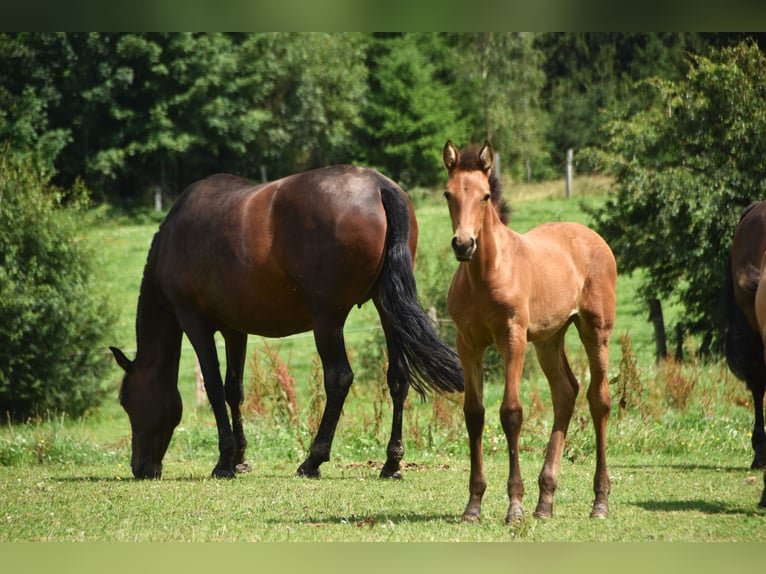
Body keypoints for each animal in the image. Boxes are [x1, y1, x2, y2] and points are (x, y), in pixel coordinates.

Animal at [444, 142, 616, 524]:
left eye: (485, 196)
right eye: (448, 194)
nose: (463, 245)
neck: (485, 274)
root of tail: (593, 237)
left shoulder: (513, 339)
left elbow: (511, 413)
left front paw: (515, 506)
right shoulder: (467, 344)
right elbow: (474, 413)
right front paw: (473, 505)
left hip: (595, 330)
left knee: (598, 399)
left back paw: (599, 501)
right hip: (549, 339)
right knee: (566, 392)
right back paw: (545, 501)